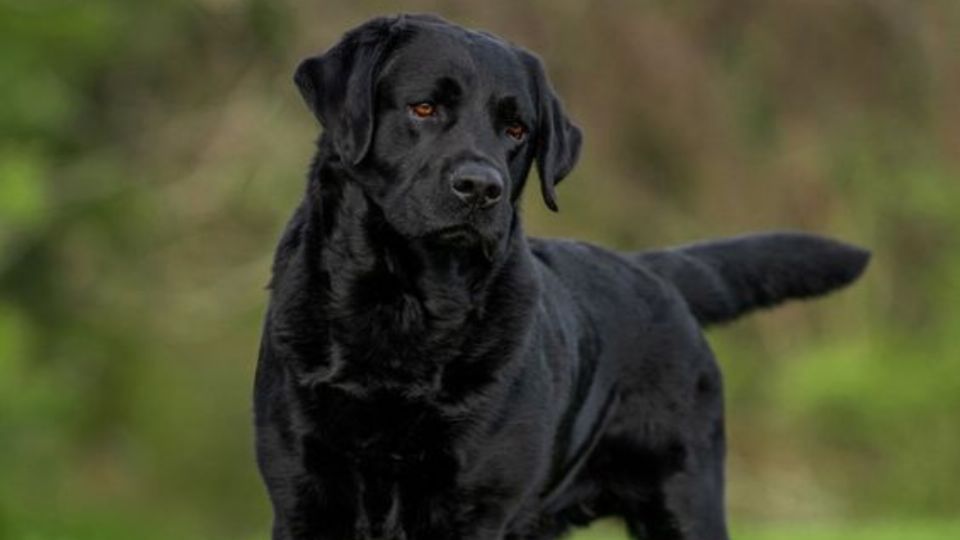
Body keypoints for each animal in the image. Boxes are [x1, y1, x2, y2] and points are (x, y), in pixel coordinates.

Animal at [255, 13, 872, 540]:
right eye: (423, 108)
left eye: (516, 129)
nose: (481, 187)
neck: (404, 308)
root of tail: (648, 268)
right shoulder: (303, 498)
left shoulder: (476, 506)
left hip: (684, 499)